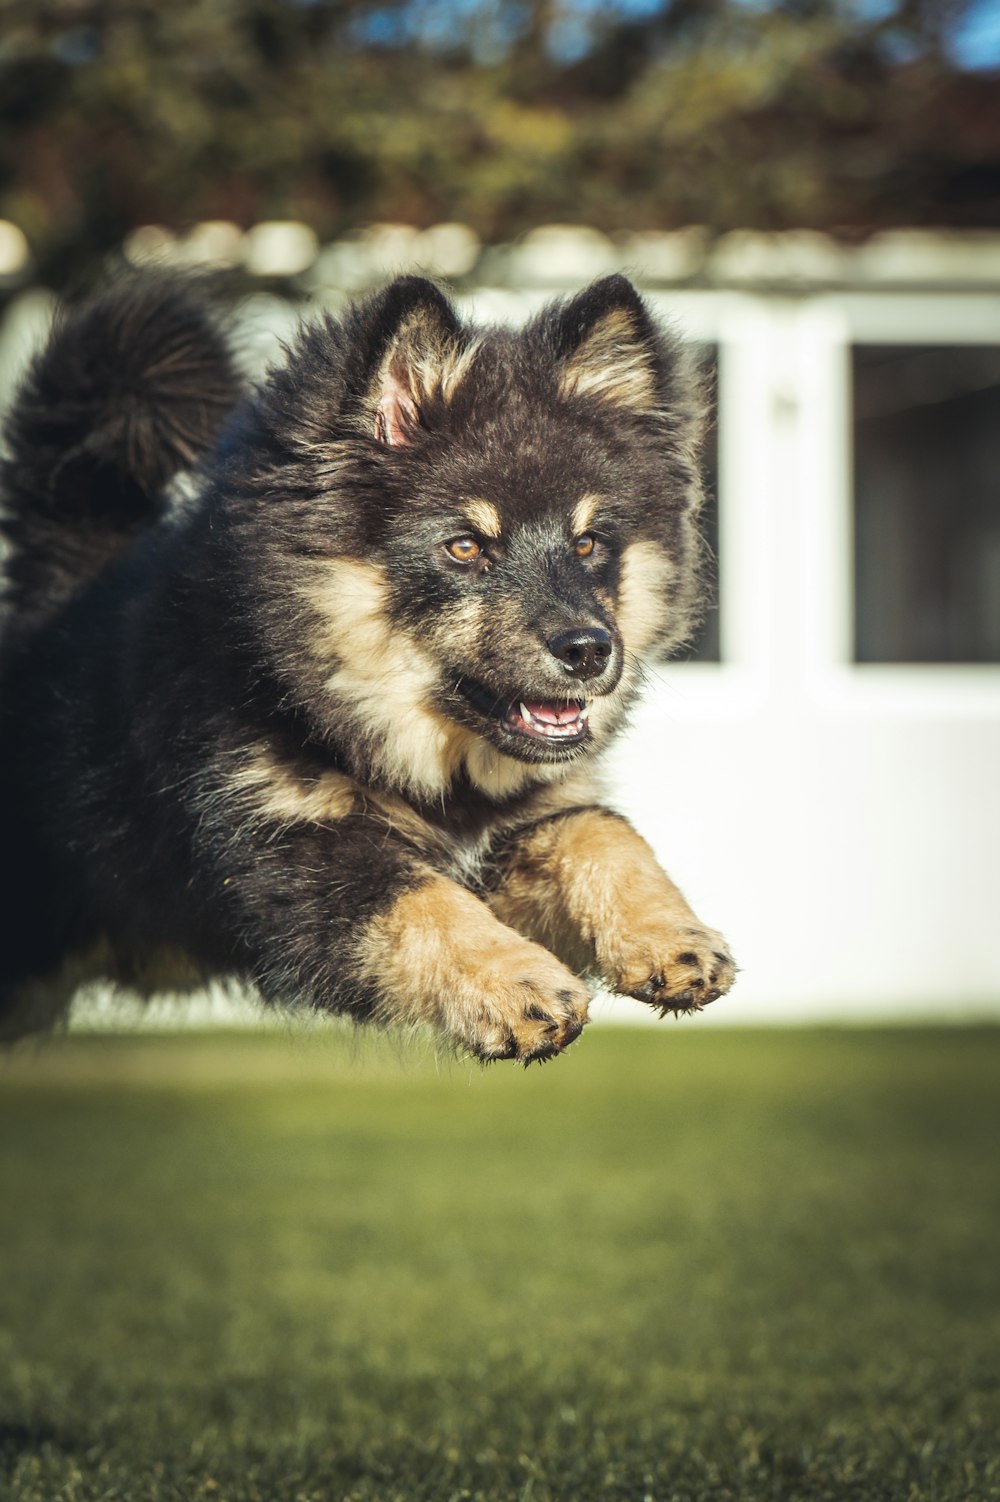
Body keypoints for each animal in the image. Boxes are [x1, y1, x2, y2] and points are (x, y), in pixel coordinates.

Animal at [0, 276, 732, 1063]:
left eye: (590, 542)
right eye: (465, 547)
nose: (591, 649)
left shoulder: (507, 831)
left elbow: (599, 831)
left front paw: (672, 938)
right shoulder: (287, 851)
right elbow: (422, 901)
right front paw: (518, 986)